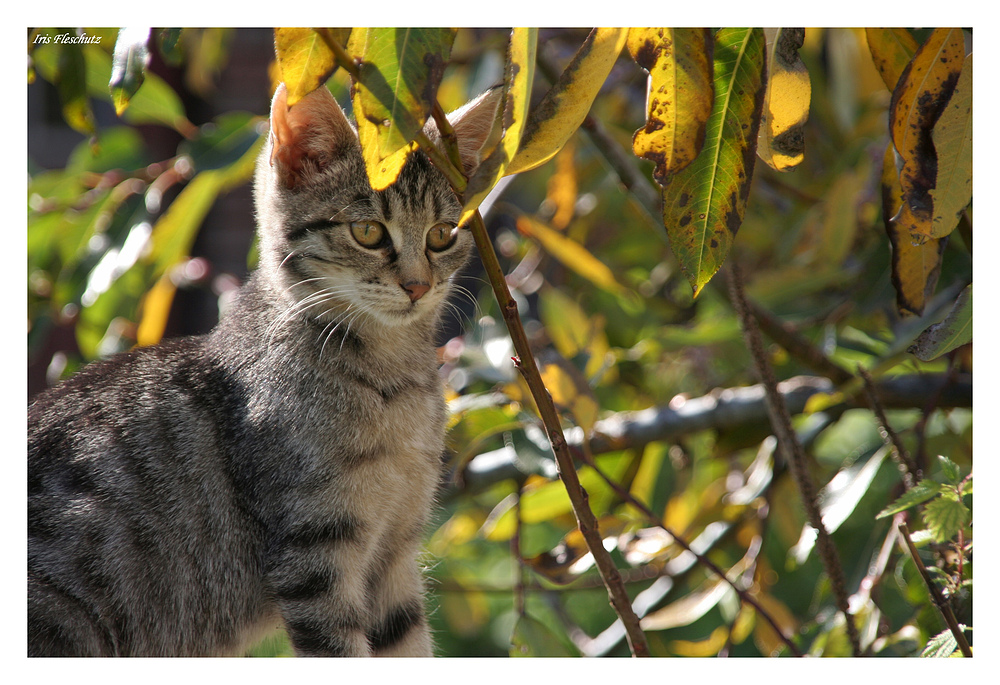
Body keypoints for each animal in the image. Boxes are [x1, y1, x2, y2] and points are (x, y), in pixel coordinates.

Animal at [29, 83, 498, 656]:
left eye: (442, 234)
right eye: (368, 231)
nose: (417, 286)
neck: (392, 383)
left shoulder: (394, 557)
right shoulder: (315, 555)